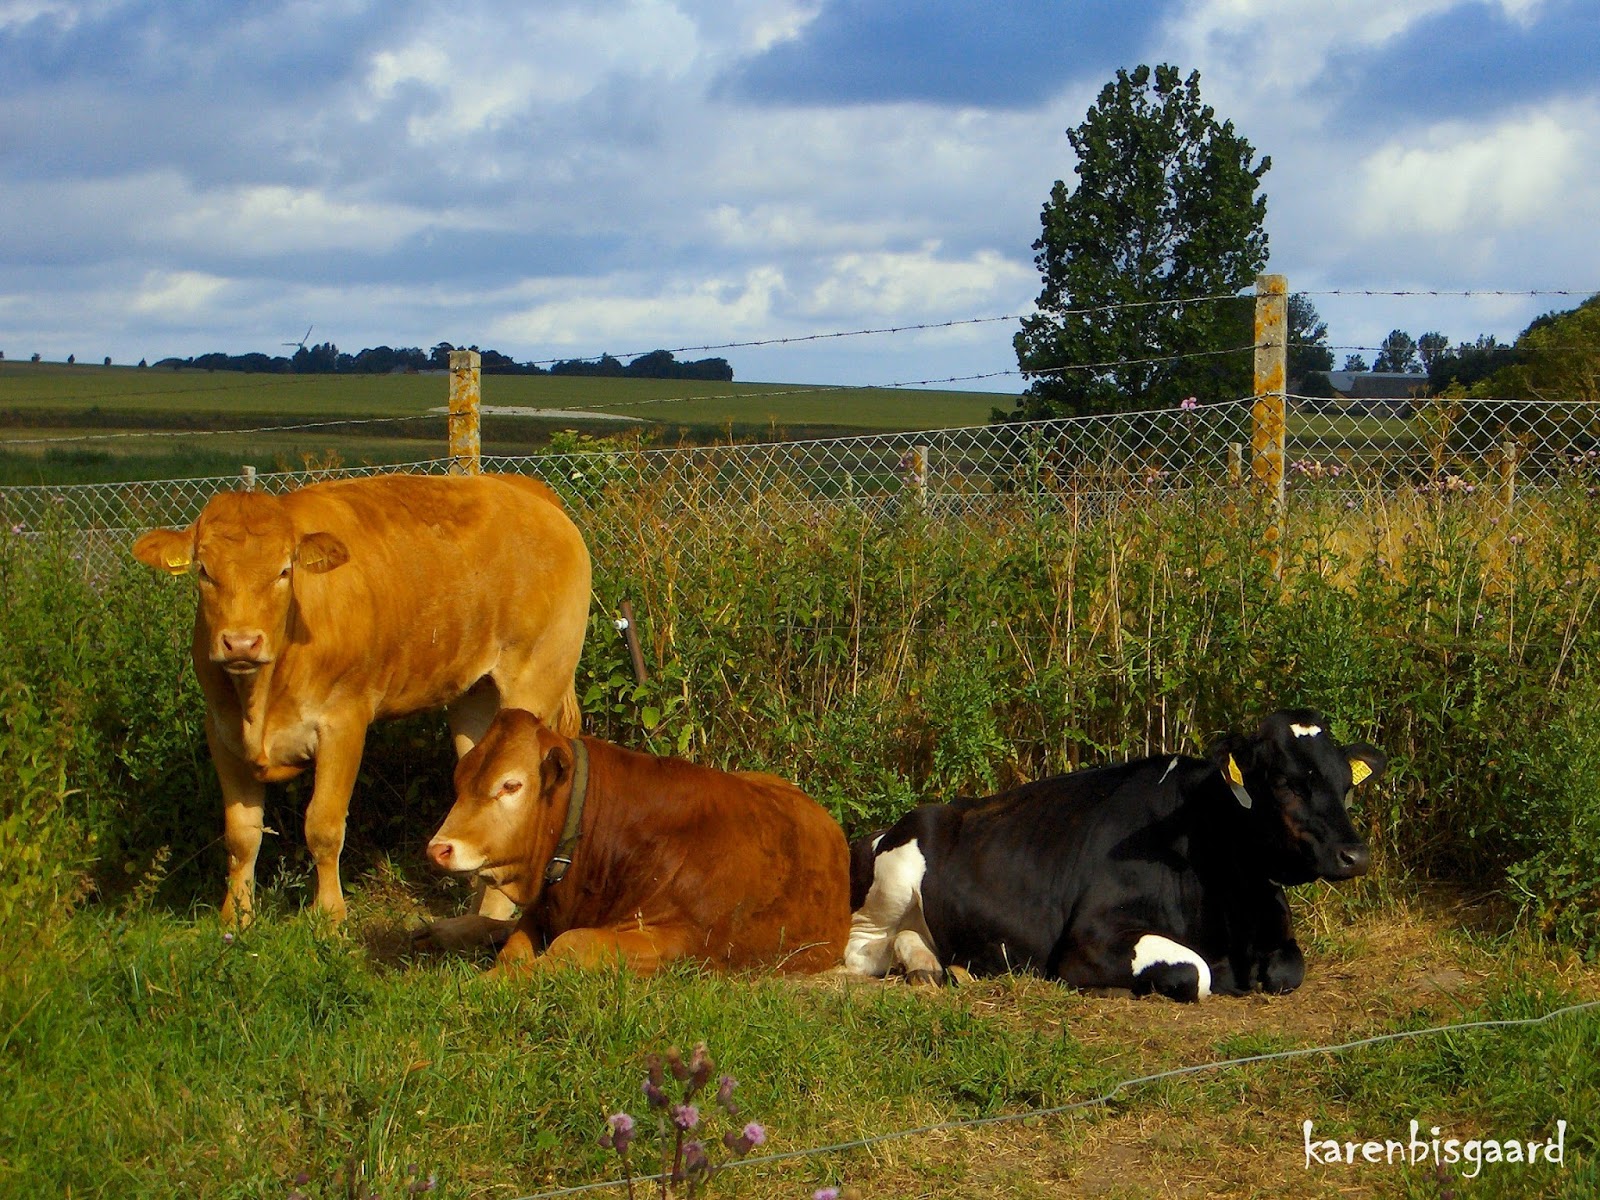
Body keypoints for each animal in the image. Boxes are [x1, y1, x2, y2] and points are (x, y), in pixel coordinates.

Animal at [131, 472, 591, 925]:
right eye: (204, 572)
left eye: (284, 571)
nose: (241, 643)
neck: (259, 701)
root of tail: (525, 489)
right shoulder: (221, 731)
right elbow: (241, 835)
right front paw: (237, 919)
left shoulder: (343, 722)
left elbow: (323, 825)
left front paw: (331, 918)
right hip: (474, 697)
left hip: (534, 679)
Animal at [418, 709, 850, 975]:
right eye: (460, 778)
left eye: (511, 785)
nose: (438, 848)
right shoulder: (542, 912)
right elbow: (513, 949)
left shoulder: (685, 941)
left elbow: (572, 945)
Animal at [846, 709, 1386, 1002]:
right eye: (1284, 782)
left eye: (1345, 782)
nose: (1354, 855)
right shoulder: (1088, 939)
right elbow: (1195, 971)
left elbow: (1288, 969)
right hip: (892, 884)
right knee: (862, 949)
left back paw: (934, 967)